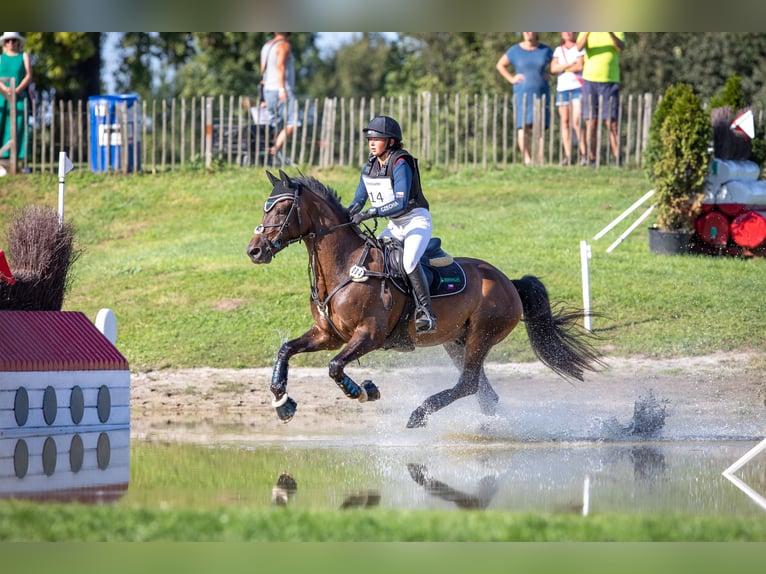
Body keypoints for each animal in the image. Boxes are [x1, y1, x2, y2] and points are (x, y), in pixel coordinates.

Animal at [248, 171, 608, 428]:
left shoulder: (368, 335)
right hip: (456, 342)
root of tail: (509, 282)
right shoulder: (328, 335)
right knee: (483, 392)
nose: (254, 251)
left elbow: (335, 366)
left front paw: (364, 391)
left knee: (468, 385)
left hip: (482, 335)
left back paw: (419, 415)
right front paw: (283, 404)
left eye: (282, 208)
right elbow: (286, 350)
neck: (343, 266)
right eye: (265, 206)